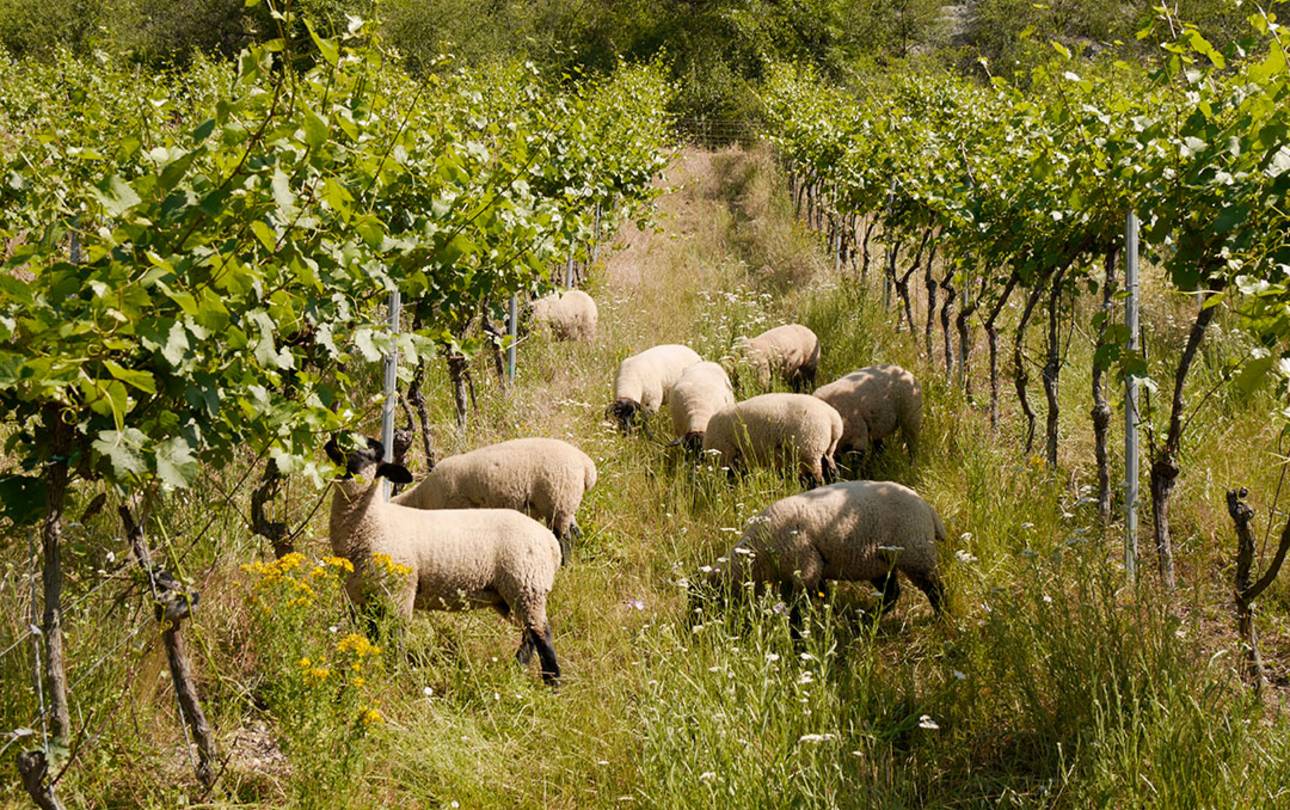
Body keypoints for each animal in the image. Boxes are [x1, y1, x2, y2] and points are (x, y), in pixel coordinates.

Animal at [325, 435, 562, 681]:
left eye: (366, 453)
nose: (330, 442)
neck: (373, 522)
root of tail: (551, 542)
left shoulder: (400, 593)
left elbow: (395, 638)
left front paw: (395, 673)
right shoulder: (359, 596)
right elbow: (368, 636)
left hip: (526, 585)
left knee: (542, 633)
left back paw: (551, 680)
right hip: (508, 596)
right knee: (529, 633)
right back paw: (517, 669)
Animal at [389, 435, 595, 562]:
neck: (421, 499)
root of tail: (586, 465)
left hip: (558, 500)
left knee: (564, 539)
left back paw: (564, 565)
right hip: (566, 504)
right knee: (575, 532)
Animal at [701, 394, 841, 487]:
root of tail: (832, 420)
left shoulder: (726, 455)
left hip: (810, 449)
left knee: (816, 477)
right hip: (826, 450)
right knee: (831, 471)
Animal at [701, 479, 944, 626]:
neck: (759, 552)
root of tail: (927, 508)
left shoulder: (805, 568)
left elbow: (799, 610)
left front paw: (798, 638)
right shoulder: (808, 572)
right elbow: (821, 596)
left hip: (915, 552)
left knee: (935, 589)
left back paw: (942, 617)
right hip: (879, 561)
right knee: (891, 593)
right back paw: (865, 621)